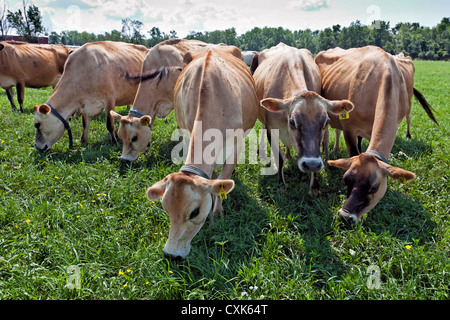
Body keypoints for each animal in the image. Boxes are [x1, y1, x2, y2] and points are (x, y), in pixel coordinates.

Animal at [142, 45, 258, 260]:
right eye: (165, 208)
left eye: (194, 212)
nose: (171, 255)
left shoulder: (236, 146)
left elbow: (222, 182)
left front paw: (218, 213)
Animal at [251, 43, 354, 194]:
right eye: (292, 122)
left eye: (326, 122)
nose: (310, 164)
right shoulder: (272, 128)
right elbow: (279, 159)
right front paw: (281, 184)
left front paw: (315, 187)